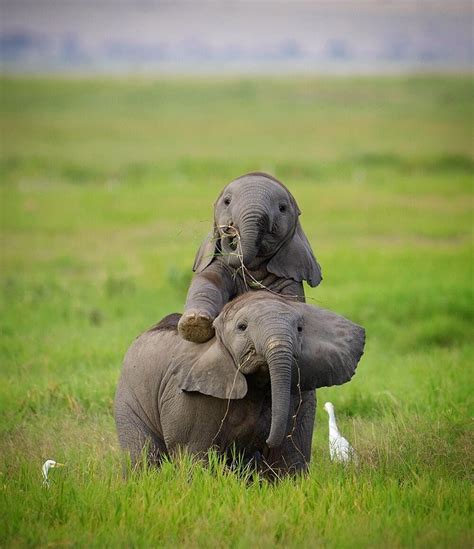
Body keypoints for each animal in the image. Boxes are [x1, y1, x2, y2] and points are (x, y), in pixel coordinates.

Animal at [115, 292, 366, 476]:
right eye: (242, 327)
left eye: (300, 329)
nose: (264, 441)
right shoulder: (190, 395)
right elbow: (194, 454)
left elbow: (288, 457)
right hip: (129, 397)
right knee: (143, 457)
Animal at [177, 171, 322, 342]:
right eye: (227, 201)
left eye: (282, 208)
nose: (229, 229)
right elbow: (208, 281)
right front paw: (195, 324)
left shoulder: (290, 276)